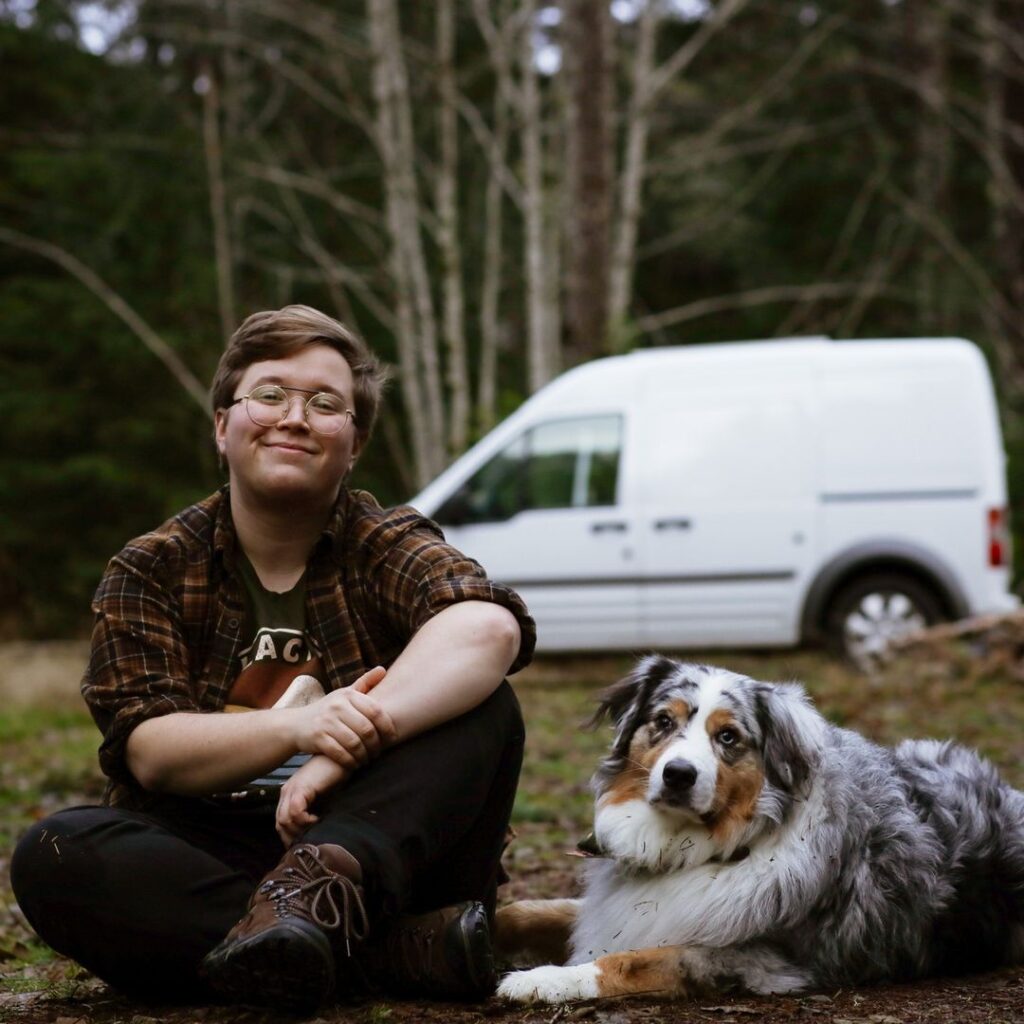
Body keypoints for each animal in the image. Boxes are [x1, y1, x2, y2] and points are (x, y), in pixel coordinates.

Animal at [495, 655, 1024, 999]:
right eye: (663, 722)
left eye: (728, 737)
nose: (679, 774)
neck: (702, 848)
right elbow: (530, 909)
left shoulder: (753, 958)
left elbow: (628, 960)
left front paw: (542, 979)